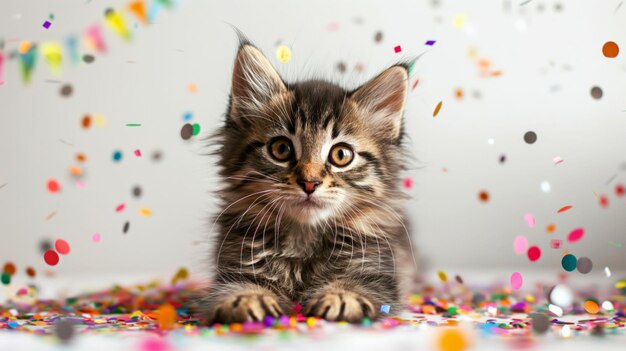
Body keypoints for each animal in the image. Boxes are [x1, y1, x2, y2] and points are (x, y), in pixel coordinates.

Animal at [202, 38, 416, 324]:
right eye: (281, 149)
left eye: (341, 155)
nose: (309, 182)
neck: (303, 239)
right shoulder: (234, 268)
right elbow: (240, 286)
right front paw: (247, 299)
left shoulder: (378, 276)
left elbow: (353, 284)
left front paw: (341, 296)